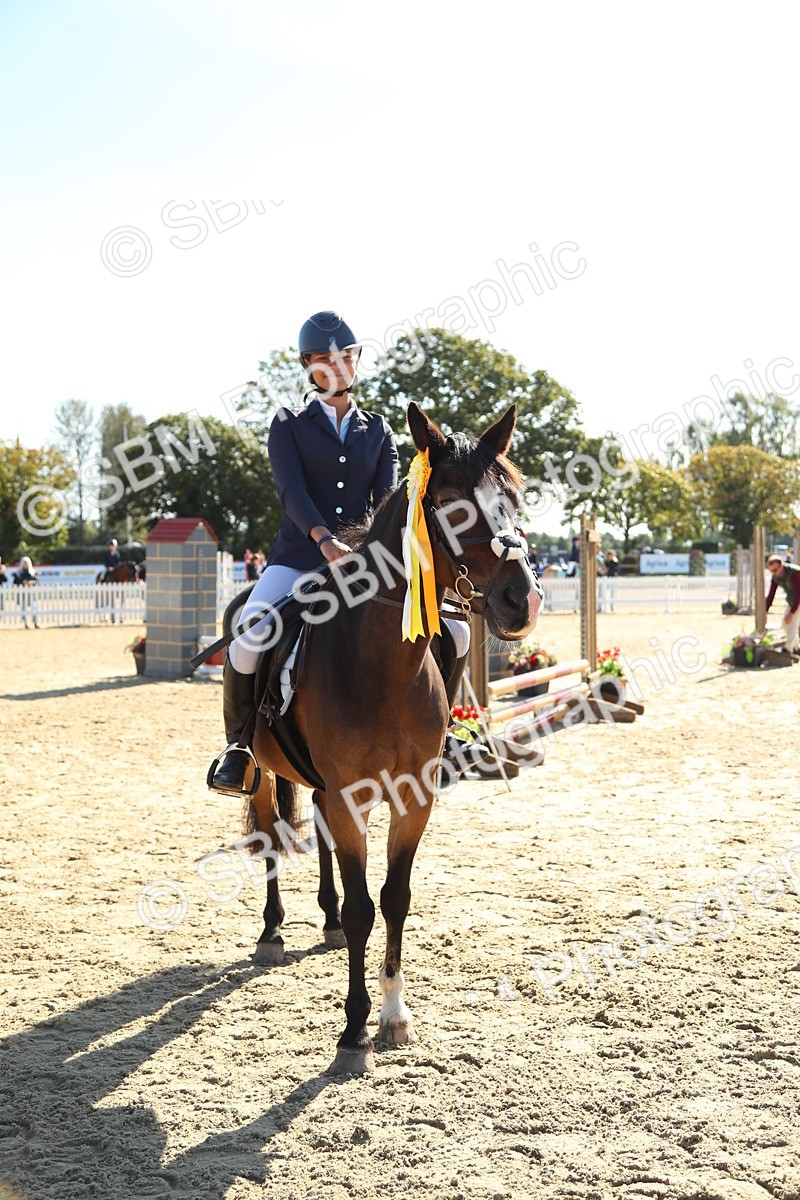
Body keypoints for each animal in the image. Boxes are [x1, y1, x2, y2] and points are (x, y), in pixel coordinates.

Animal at [231, 402, 543, 1074]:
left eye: (513, 498)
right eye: (449, 504)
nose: (522, 600)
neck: (382, 666)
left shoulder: (411, 797)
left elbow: (394, 897)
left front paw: (395, 1015)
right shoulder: (351, 795)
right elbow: (363, 907)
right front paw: (353, 1032)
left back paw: (323, 922)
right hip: (262, 772)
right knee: (268, 836)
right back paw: (272, 932)